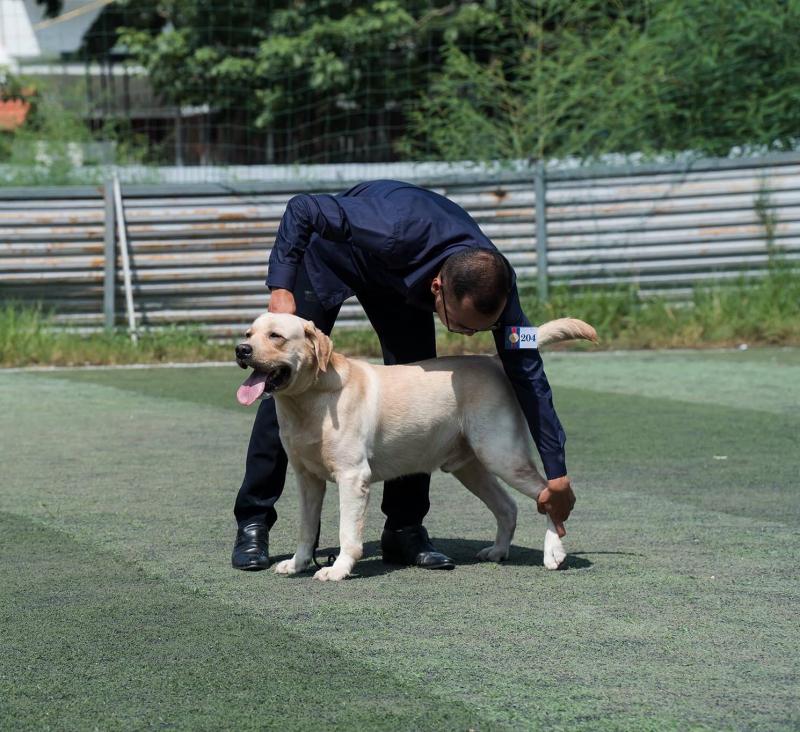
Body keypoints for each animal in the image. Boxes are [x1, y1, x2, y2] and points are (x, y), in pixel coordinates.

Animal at [236, 314, 592, 584]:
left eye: (276, 336)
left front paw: (337, 570)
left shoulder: (353, 477)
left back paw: (553, 553)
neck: (307, 402)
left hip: (502, 455)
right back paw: (497, 552)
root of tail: (493, 361)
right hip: (469, 466)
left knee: (550, 495)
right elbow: (307, 529)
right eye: (249, 333)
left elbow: (348, 533)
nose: (241, 349)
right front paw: (297, 564)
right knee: (508, 507)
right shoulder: (307, 479)